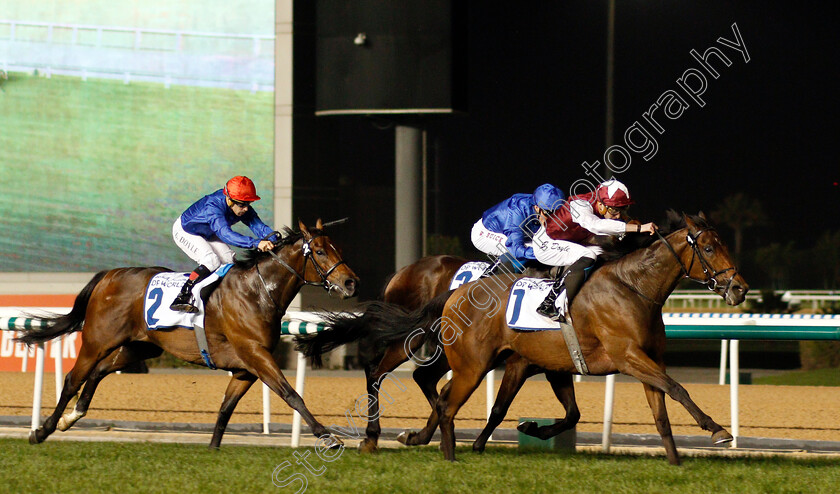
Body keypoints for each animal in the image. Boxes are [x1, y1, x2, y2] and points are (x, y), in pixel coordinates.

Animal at [16, 218, 358, 450]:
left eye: (338, 248)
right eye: (319, 251)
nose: (351, 282)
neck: (258, 291)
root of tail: (109, 275)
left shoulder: (245, 368)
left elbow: (225, 409)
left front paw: (212, 449)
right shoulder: (256, 356)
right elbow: (292, 394)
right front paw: (328, 437)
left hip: (141, 346)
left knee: (99, 372)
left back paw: (71, 417)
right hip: (97, 340)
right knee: (73, 378)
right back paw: (42, 430)